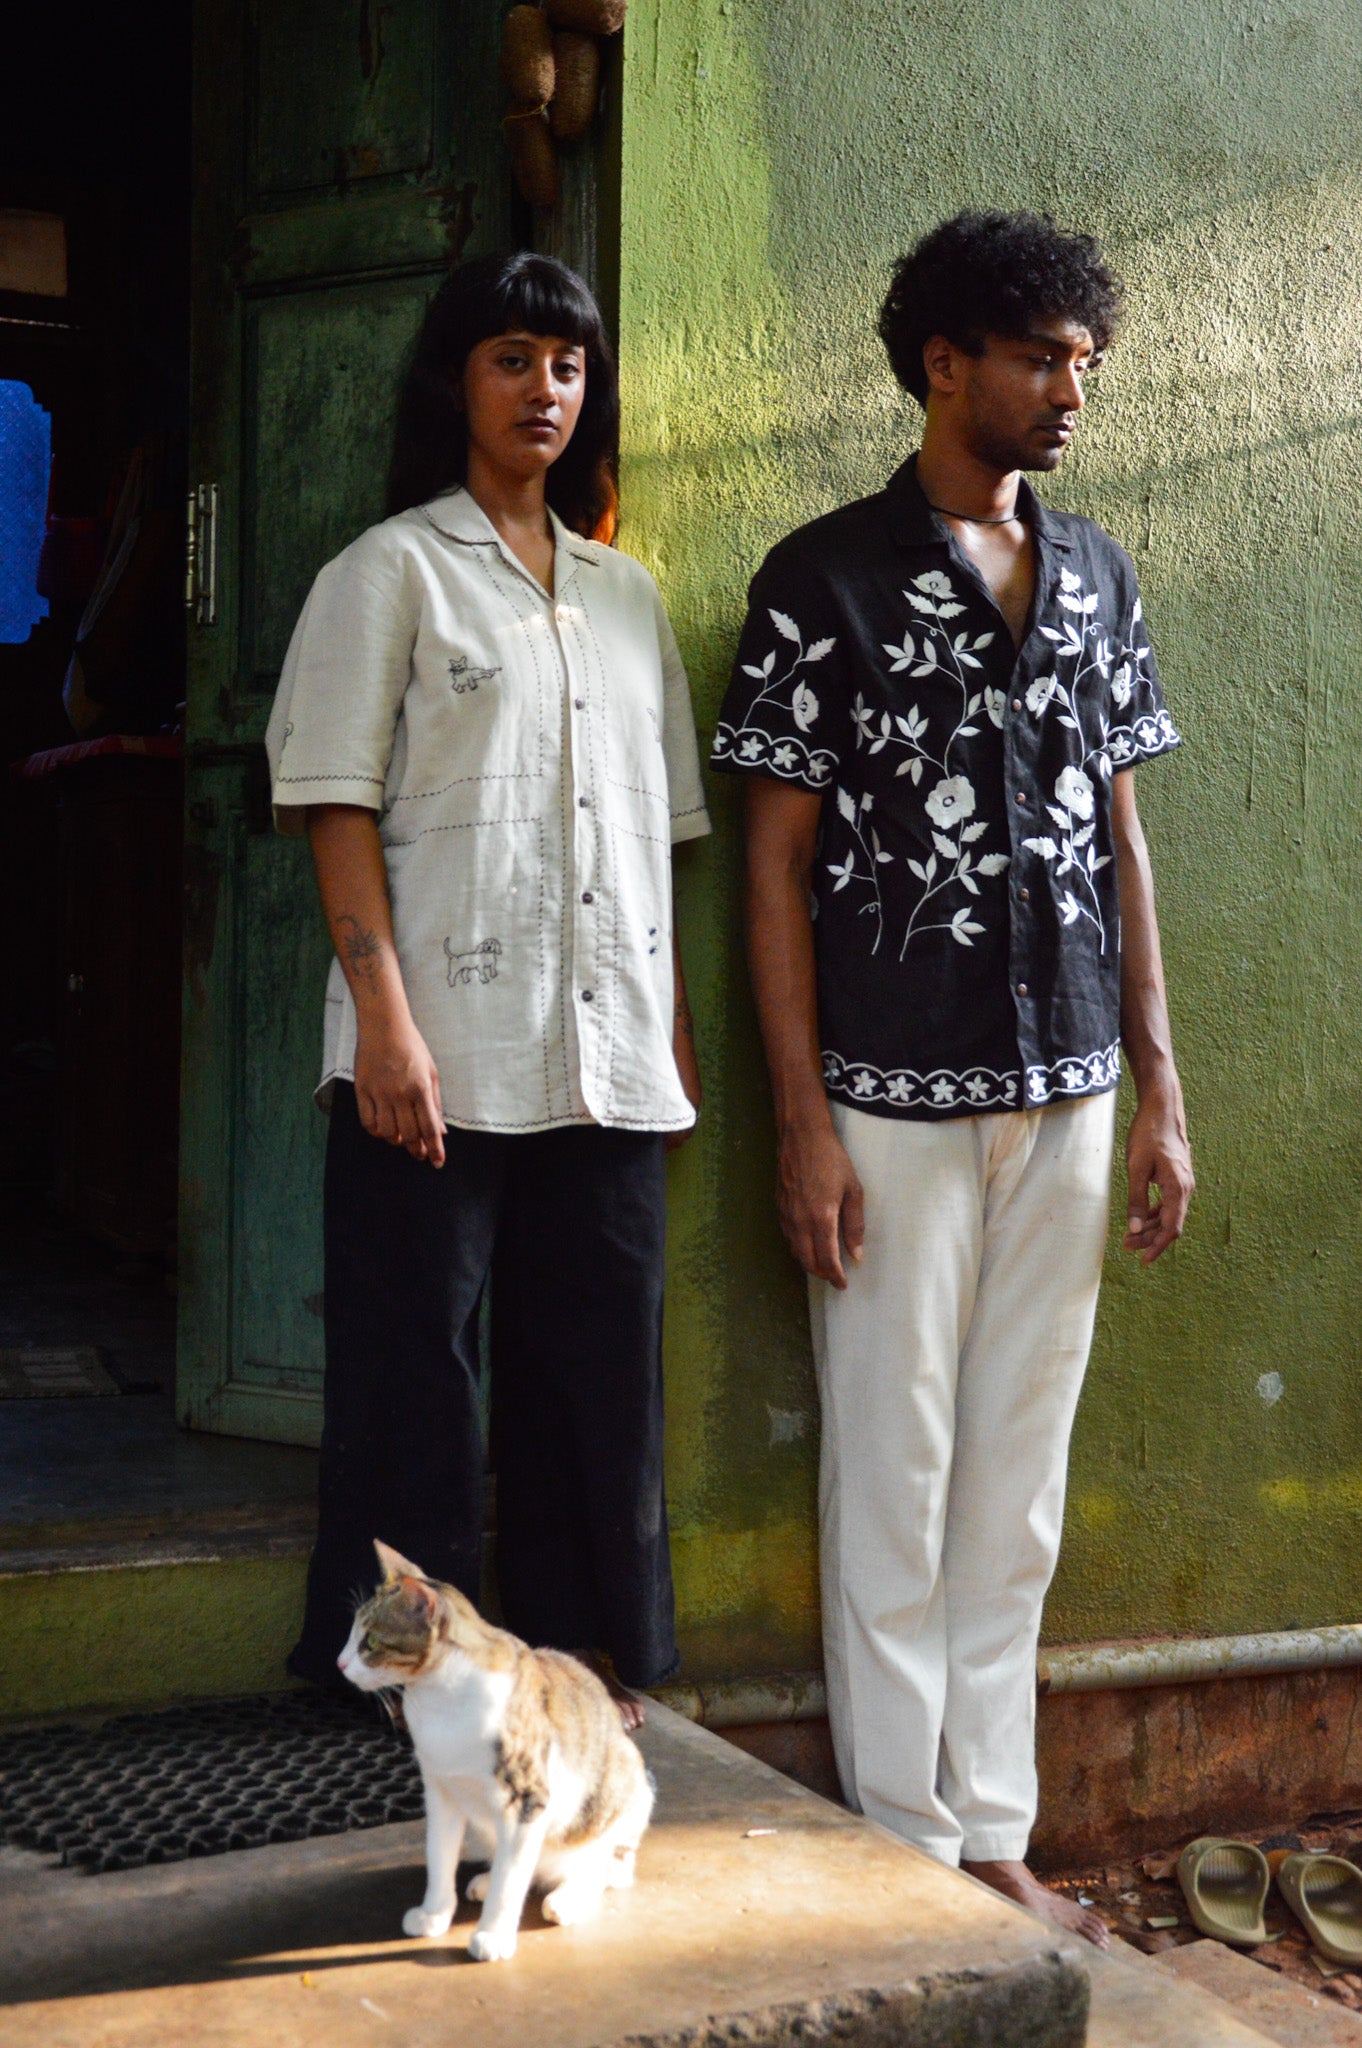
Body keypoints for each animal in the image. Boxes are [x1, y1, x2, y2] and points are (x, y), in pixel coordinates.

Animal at [335, 1540, 655, 1957]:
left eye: (370, 1642)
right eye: (352, 1634)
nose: (340, 1663)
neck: (440, 1700)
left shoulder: (527, 1798)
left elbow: (512, 1876)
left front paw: (494, 1935)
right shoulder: (440, 1791)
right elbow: (439, 1856)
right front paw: (434, 1914)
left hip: (626, 1786)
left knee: (606, 1867)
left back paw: (567, 1898)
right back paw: (487, 1880)